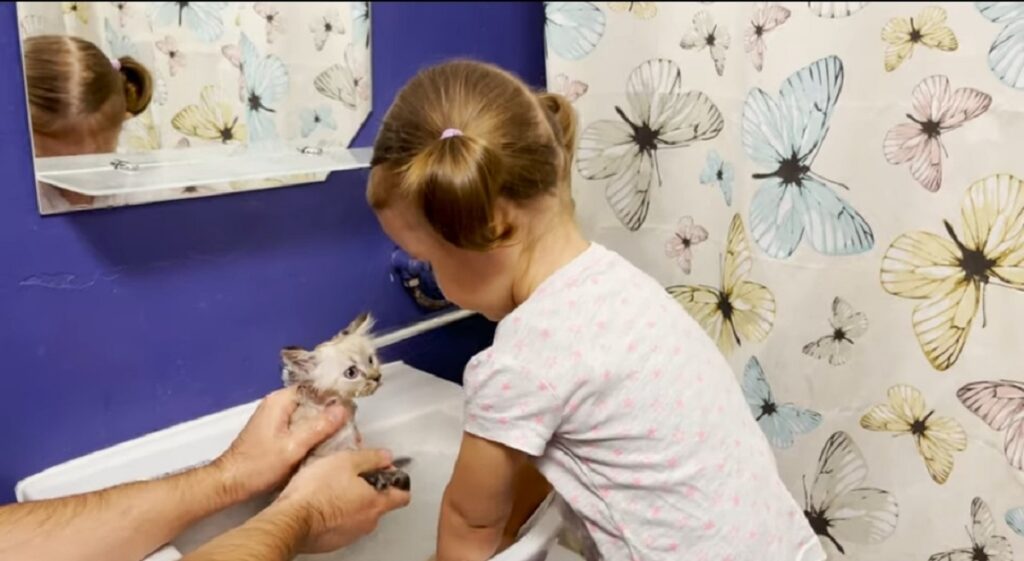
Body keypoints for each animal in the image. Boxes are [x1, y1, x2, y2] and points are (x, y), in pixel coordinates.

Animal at [282, 311, 409, 491]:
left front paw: (394, 476)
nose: (376, 377)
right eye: (351, 373)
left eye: (370, 360)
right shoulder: (326, 454)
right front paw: (380, 477)